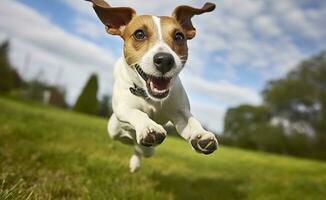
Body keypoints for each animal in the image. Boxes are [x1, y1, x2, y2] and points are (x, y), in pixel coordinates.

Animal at [88, 0, 218, 172]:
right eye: (139, 34)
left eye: (179, 36)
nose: (165, 60)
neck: (151, 98)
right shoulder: (123, 108)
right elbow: (136, 112)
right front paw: (149, 126)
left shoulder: (180, 112)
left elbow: (191, 121)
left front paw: (200, 135)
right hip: (113, 129)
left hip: (146, 148)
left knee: (140, 149)